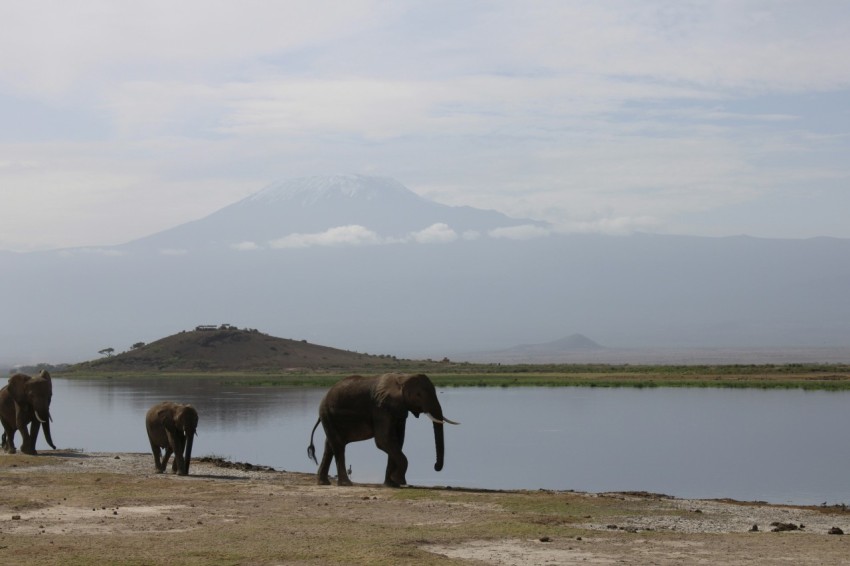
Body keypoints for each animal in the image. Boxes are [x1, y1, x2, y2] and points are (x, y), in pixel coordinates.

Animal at [307, 373, 458, 487]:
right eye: (419, 394)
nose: (435, 466)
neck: (402, 378)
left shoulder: (399, 409)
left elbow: (397, 440)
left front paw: (392, 484)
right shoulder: (380, 407)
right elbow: (383, 440)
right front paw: (399, 480)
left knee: (330, 445)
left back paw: (323, 482)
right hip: (327, 413)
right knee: (338, 445)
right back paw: (346, 484)